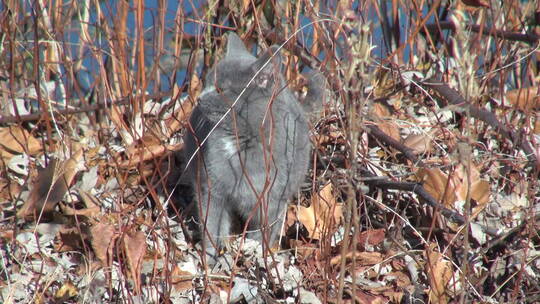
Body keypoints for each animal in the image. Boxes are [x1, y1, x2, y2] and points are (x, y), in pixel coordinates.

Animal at [182, 32, 324, 262]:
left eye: (220, 89)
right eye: (205, 83)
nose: (199, 99)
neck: (242, 143)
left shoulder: (273, 197)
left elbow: (264, 231)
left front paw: (256, 251)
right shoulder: (211, 187)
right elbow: (212, 223)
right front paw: (211, 257)